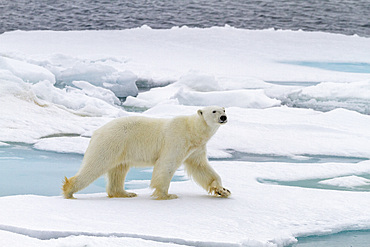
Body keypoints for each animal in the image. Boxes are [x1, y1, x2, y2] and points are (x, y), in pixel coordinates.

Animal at [63, 105, 231, 200]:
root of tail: (97, 132)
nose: (223, 117)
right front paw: (167, 195)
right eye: (214, 111)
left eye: (224, 110)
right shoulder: (176, 140)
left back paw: (125, 193)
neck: (192, 130)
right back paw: (69, 190)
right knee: (96, 165)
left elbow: (201, 168)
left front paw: (223, 190)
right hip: (111, 143)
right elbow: (166, 164)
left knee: (118, 171)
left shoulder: (196, 148)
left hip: (121, 149)